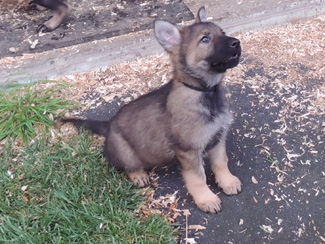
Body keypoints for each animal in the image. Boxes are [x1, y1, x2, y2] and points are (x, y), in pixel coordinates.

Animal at [62, 7, 242, 214]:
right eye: (205, 39)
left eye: (222, 32)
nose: (237, 43)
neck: (205, 92)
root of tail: (108, 125)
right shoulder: (188, 151)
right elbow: (198, 178)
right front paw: (206, 199)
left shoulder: (218, 137)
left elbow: (221, 162)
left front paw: (227, 182)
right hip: (125, 152)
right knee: (127, 165)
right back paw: (138, 175)